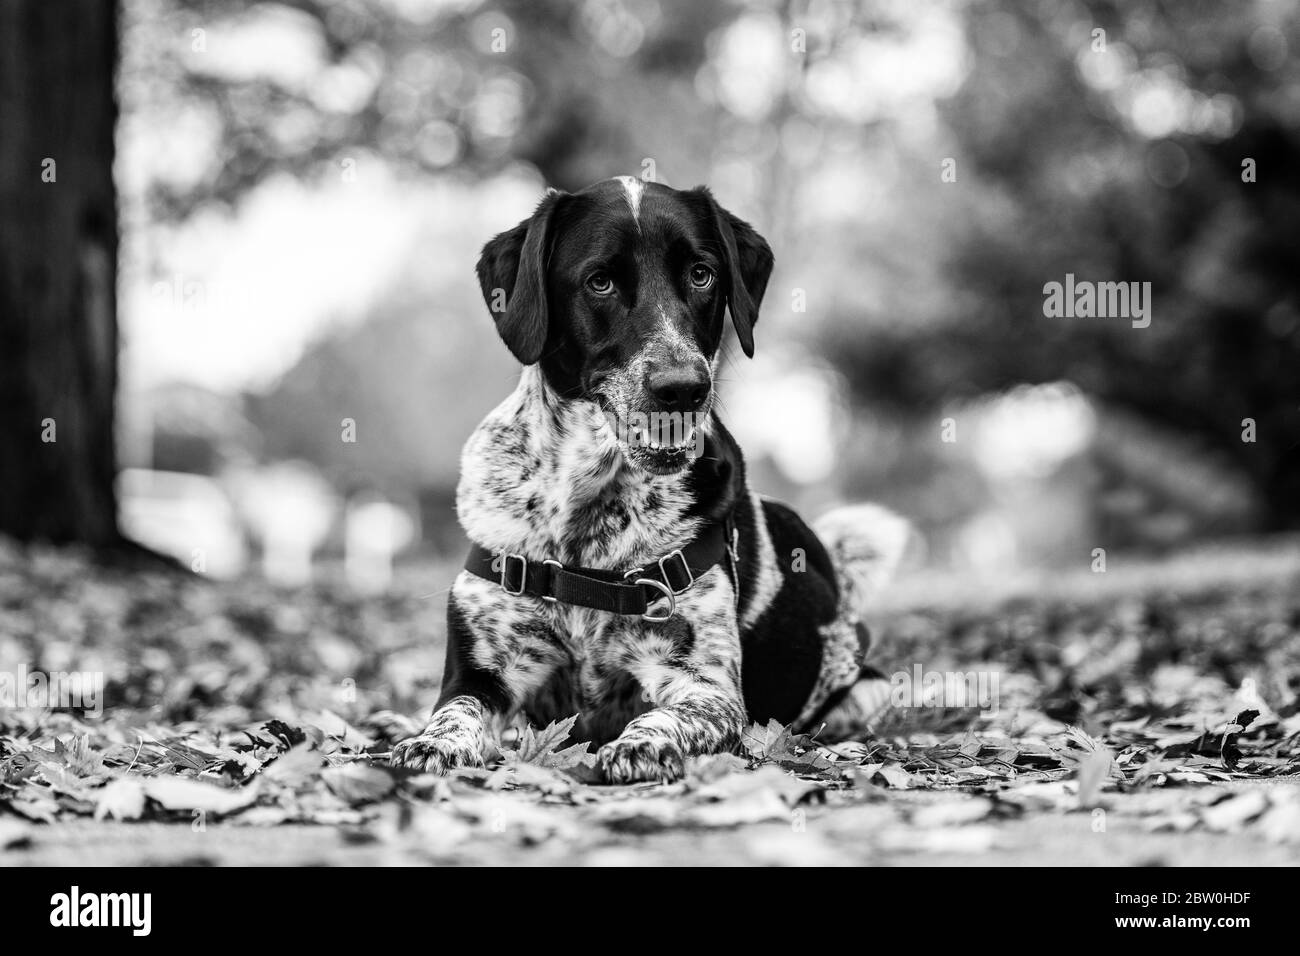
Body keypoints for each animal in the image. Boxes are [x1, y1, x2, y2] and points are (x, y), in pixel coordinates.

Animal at [390, 179, 909, 785]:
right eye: (601, 281)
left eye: (702, 274)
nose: (683, 388)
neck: (589, 507)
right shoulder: (480, 671)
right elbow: (454, 712)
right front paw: (433, 743)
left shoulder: (705, 684)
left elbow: (667, 716)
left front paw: (642, 745)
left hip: (864, 687)